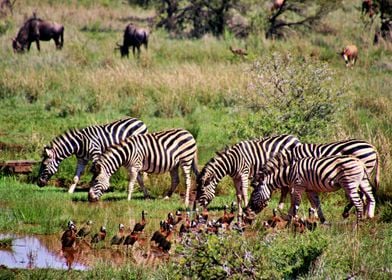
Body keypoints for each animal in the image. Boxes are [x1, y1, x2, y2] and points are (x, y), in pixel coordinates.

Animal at [248, 150, 376, 224]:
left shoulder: (298, 186)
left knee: (359, 203)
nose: (247, 210)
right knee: (371, 197)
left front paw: (292, 221)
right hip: (363, 181)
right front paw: (323, 221)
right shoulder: (310, 190)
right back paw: (369, 217)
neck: (289, 172)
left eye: (254, 194)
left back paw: (357, 225)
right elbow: (317, 205)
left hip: (350, 183)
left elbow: (295, 204)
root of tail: (360, 162)